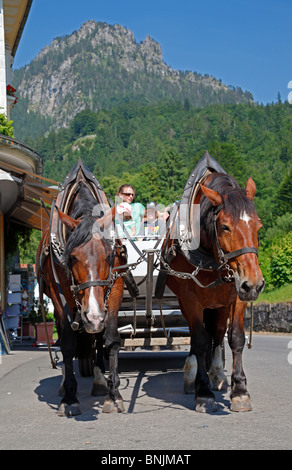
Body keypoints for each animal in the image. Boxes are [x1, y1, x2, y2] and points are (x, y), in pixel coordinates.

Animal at [35, 179, 125, 414]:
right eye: (73, 257)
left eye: (109, 255)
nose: (93, 316)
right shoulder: (59, 297)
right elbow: (68, 344)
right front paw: (69, 398)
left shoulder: (114, 289)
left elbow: (111, 340)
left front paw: (114, 395)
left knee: (97, 337)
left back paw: (99, 381)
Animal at [160, 154, 264, 412]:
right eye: (225, 226)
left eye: (258, 225)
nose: (254, 284)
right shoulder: (190, 298)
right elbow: (198, 339)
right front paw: (203, 392)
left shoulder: (237, 295)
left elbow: (235, 337)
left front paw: (239, 391)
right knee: (198, 335)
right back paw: (193, 376)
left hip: (220, 302)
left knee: (216, 332)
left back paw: (217, 373)